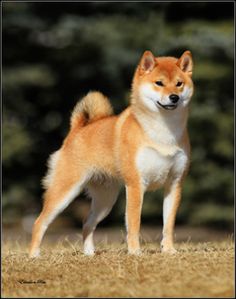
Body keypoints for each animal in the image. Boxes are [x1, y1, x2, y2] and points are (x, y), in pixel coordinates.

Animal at [29, 49, 194, 258]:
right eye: (159, 83)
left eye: (179, 83)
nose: (174, 97)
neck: (163, 132)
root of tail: (77, 129)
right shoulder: (136, 184)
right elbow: (134, 223)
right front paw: (135, 252)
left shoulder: (174, 184)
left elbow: (168, 225)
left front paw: (169, 250)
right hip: (65, 191)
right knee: (39, 222)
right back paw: (34, 255)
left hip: (105, 200)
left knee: (87, 224)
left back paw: (89, 253)